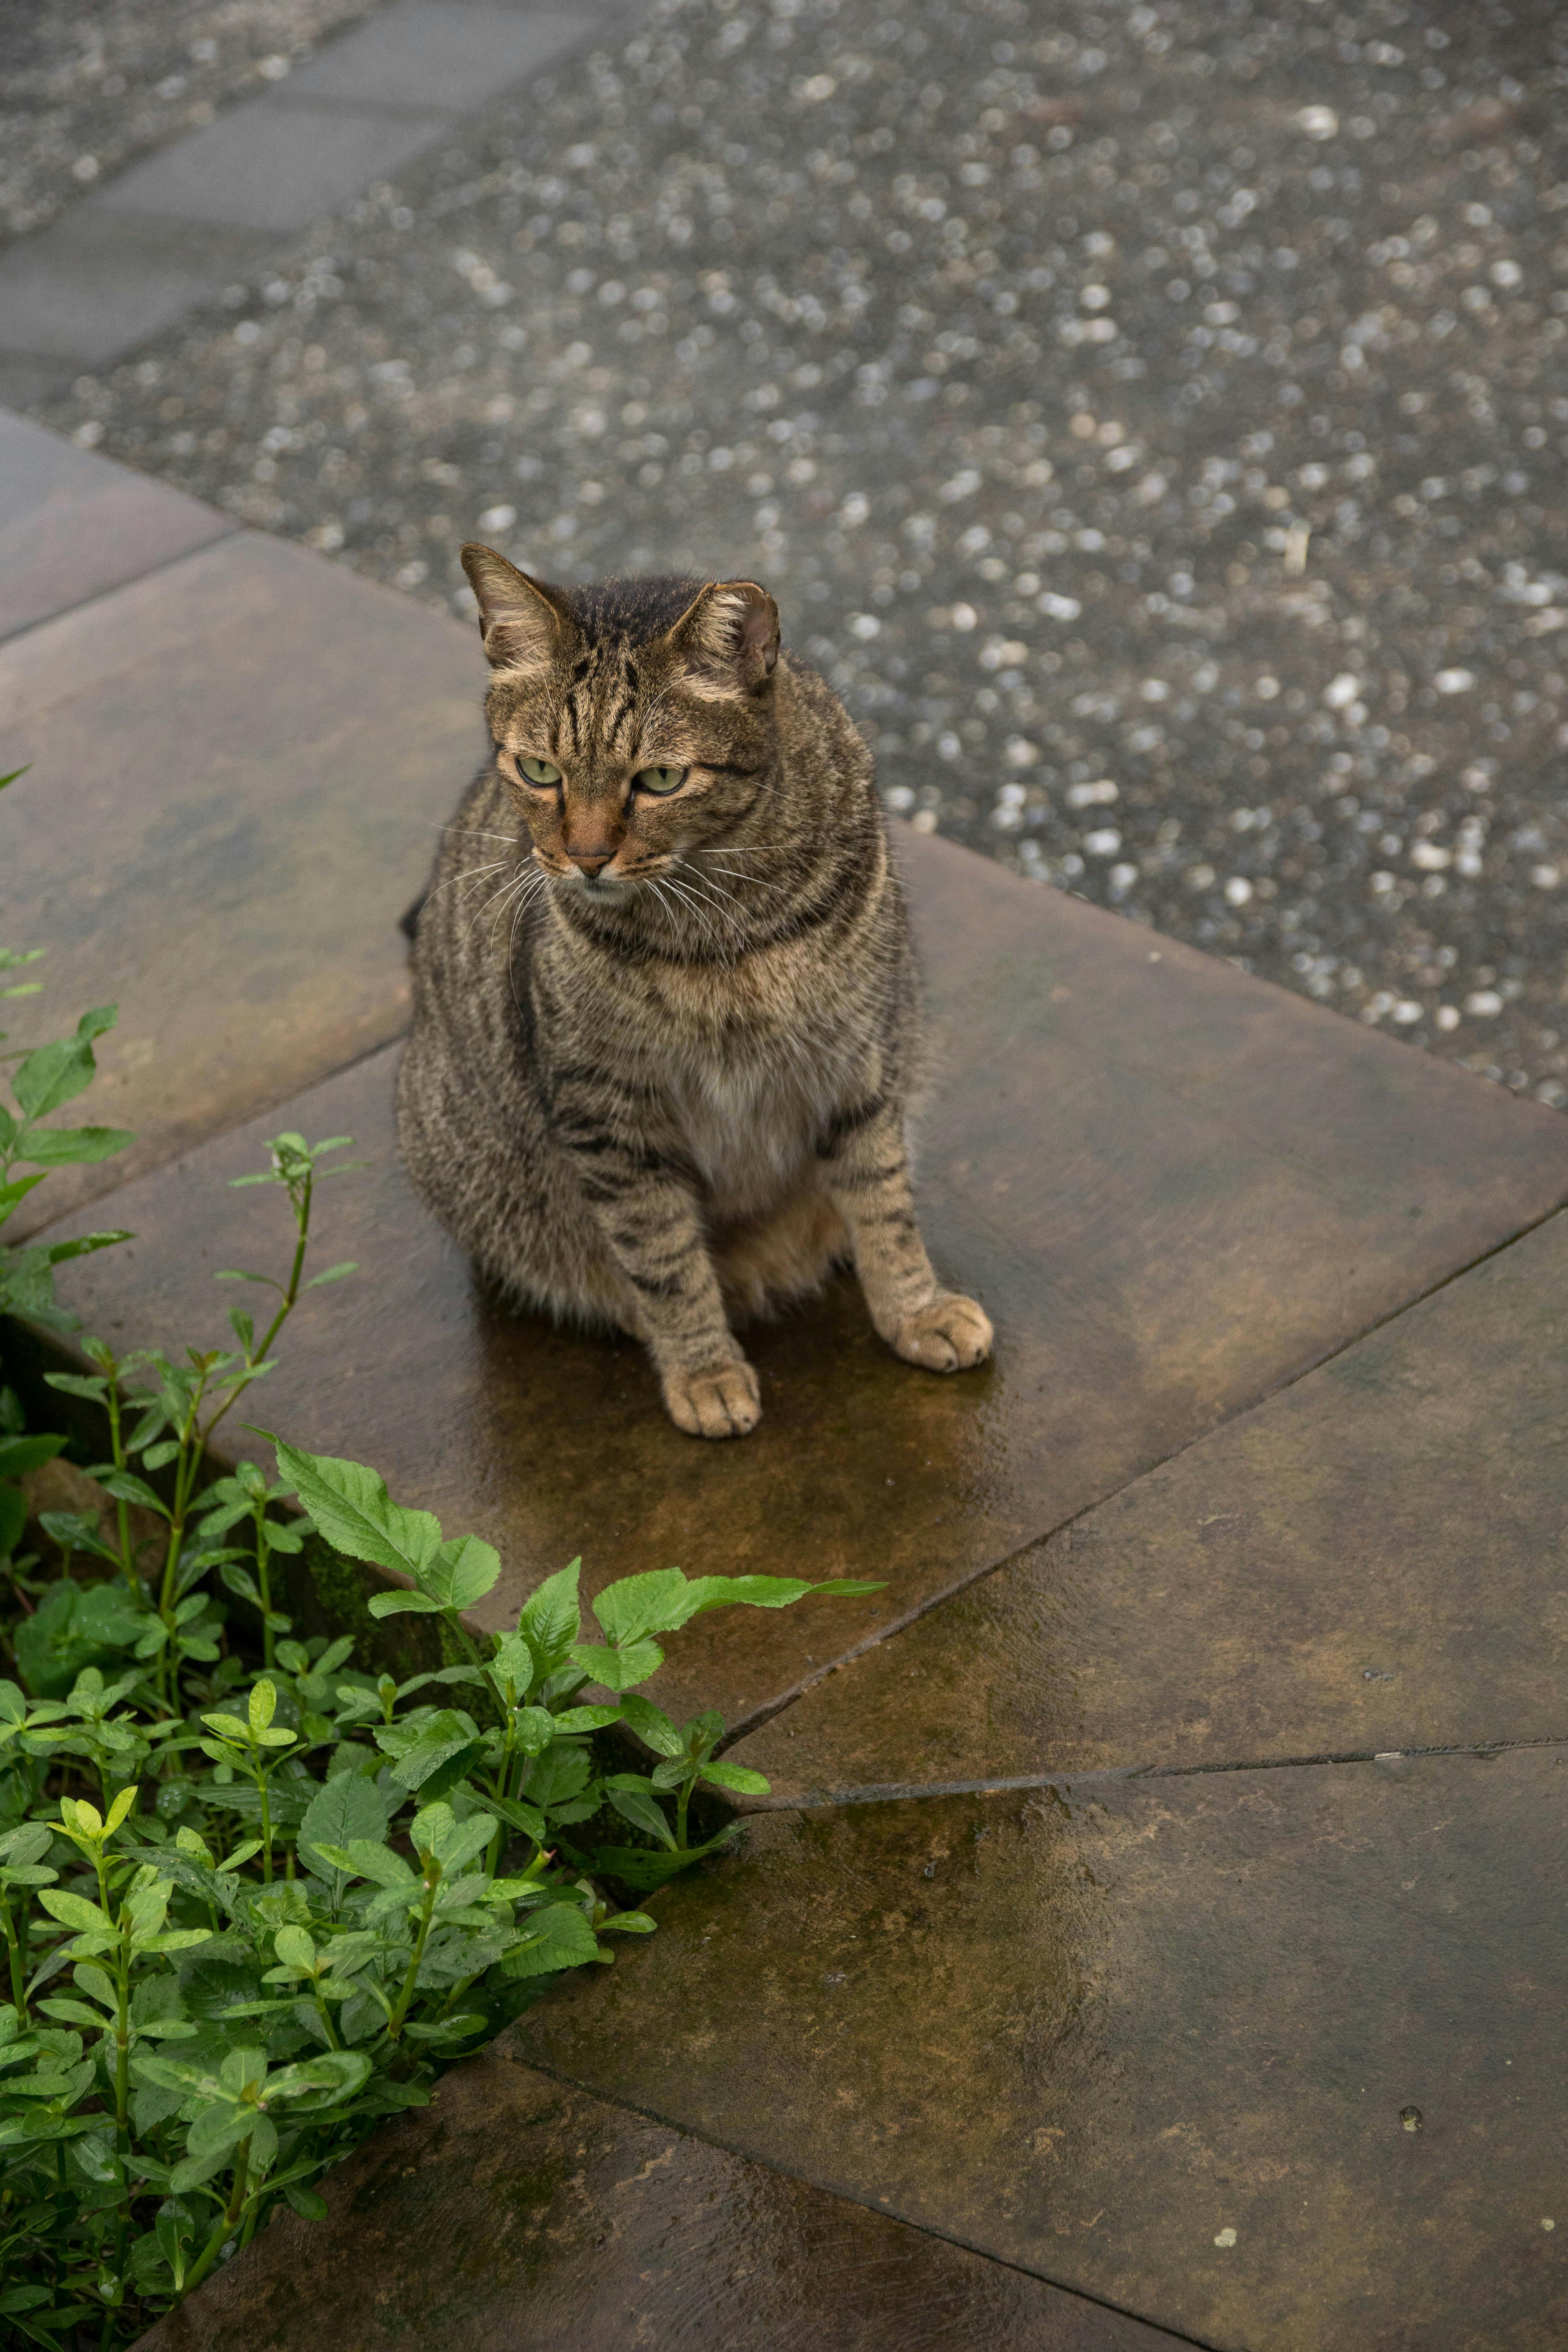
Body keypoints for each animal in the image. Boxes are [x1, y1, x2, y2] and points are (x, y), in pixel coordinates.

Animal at [402, 548, 992, 1430]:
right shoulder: (610, 1115)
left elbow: (884, 1200)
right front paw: (704, 1369)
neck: (723, 929)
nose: (584, 858)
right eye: (539, 770)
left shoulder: (857, 1061)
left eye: (660, 778)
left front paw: (914, 1310)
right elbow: (663, 1257)